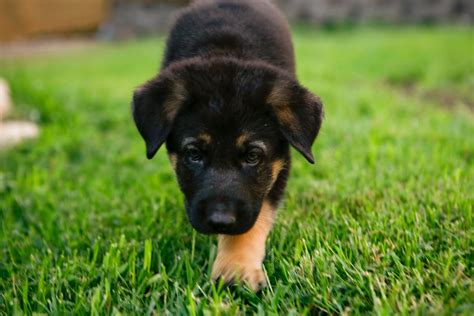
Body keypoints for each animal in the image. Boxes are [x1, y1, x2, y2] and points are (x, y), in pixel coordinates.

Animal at [133, 0, 326, 292]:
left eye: (253, 156)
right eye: (194, 154)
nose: (220, 222)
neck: (227, 51)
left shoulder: (278, 166)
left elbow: (254, 219)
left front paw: (236, 267)